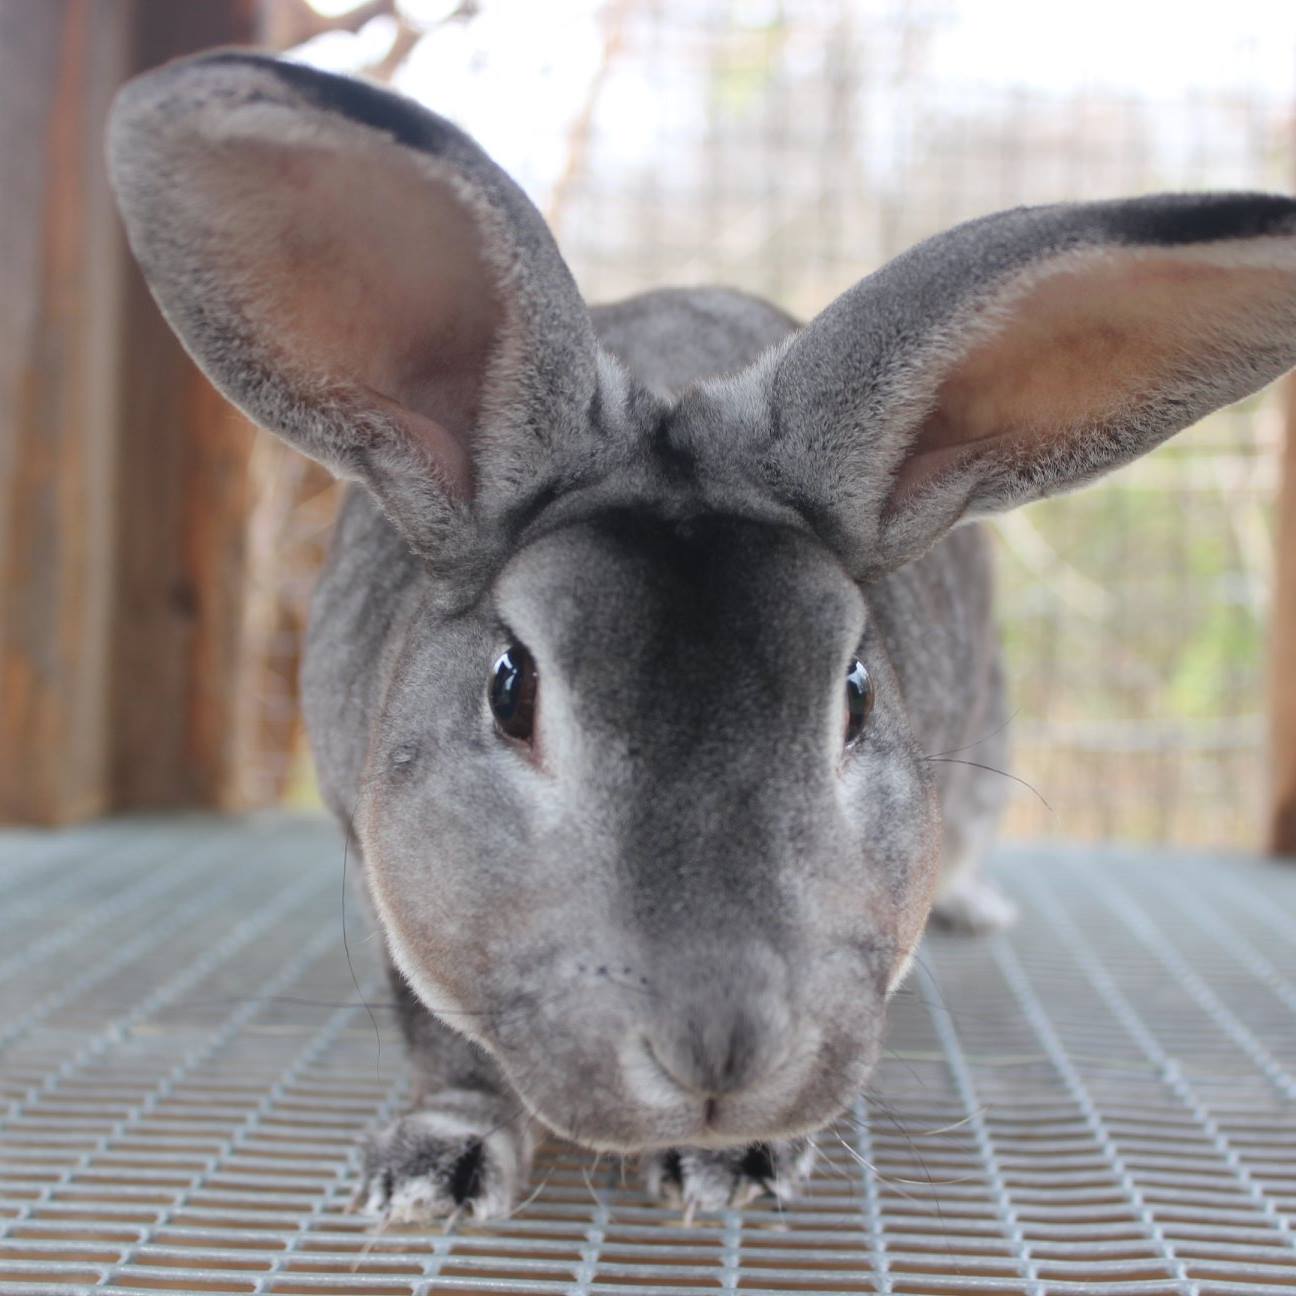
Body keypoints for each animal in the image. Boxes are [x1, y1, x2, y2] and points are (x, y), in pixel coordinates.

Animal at [106, 51, 1296, 1222]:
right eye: (510, 688)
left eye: (856, 690)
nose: (722, 1055)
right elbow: (449, 1052)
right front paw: (433, 1171)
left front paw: (740, 1165)